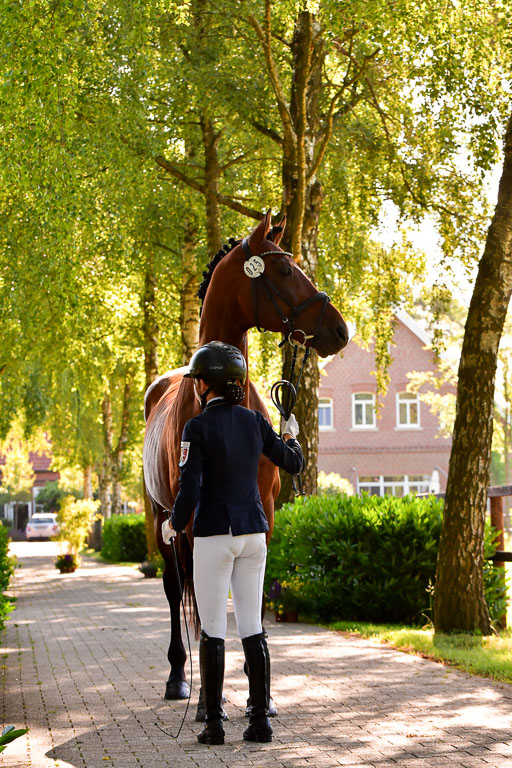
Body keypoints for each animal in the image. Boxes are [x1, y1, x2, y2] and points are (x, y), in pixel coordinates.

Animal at [143, 208, 349, 705]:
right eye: (284, 270)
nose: (339, 330)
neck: (219, 397)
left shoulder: (264, 514)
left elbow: (251, 599)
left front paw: (263, 693)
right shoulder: (194, 521)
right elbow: (204, 603)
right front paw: (207, 698)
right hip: (162, 521)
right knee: (175, 589)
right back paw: (179, 677)